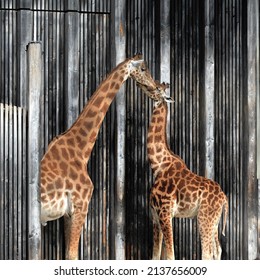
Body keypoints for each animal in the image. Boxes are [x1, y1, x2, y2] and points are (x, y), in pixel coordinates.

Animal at [41, 53, 157, 260]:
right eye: (143, 69)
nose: (156, 86)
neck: (80, 149)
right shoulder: (81, 205)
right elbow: (72, 255)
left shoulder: (68, 213)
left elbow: (67, 253)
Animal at [137, 81, 229, 260]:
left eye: (156, 89)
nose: (143, 87)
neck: (158, 164)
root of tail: (224, 198)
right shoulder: (155, 216)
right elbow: (156, 256)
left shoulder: (165, 212)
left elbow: (170, 256)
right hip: (214, 221)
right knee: (217, 250)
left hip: (204, 218)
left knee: (207, 252)